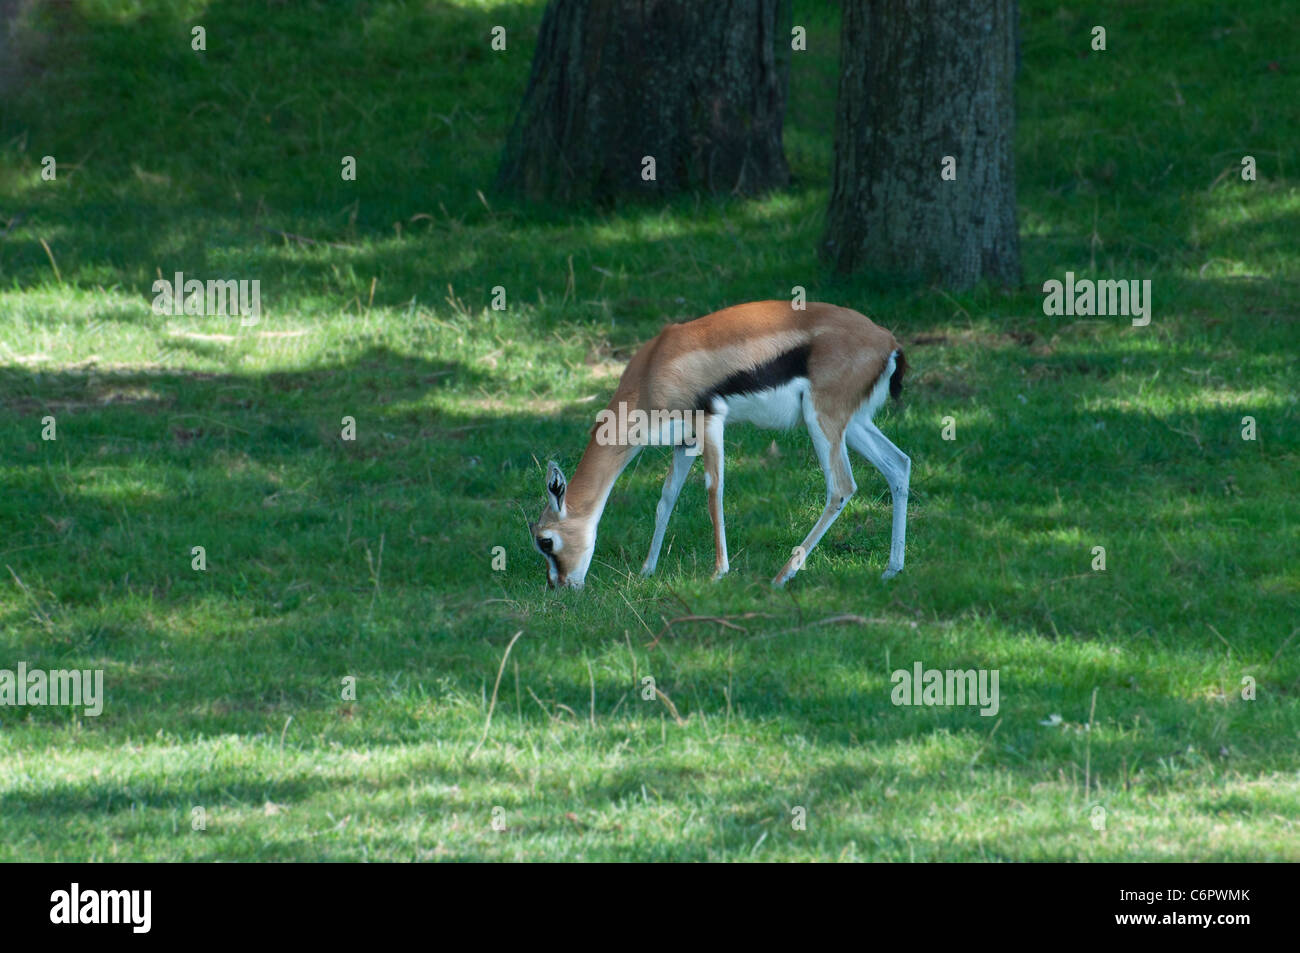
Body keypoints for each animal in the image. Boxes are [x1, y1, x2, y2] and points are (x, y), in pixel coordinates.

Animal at [530, 300, 910, 589]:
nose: (558, 585)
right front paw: (646, 570)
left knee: (841, 487)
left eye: (546, 540)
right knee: (899, 464)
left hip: (822, 420)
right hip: (854, 424)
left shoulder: (710, 423)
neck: (653, 369)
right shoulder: (683, 441)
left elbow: (714, 494)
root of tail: (888, 342)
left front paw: (718, 573)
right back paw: (891, 570)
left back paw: (781, 577)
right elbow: (666, 499)